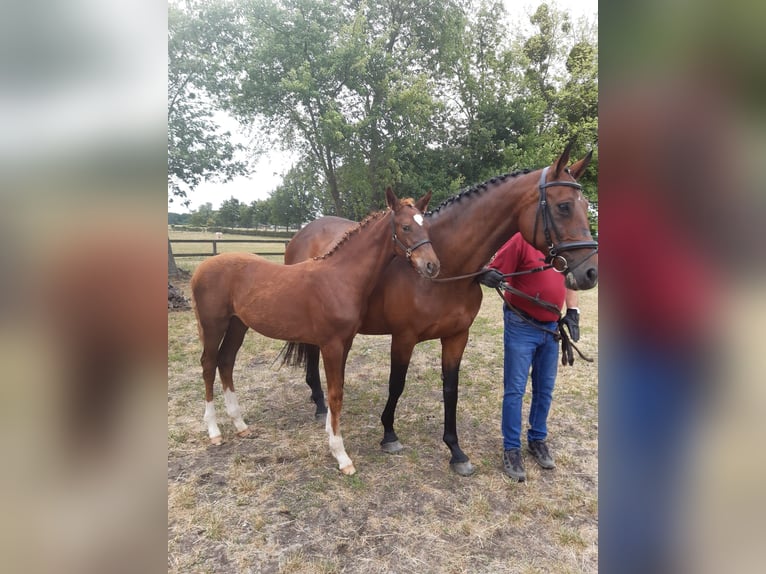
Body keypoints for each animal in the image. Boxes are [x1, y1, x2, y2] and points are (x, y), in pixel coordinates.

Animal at [190, 187, 440, 475]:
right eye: (406, 226)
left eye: (427, 226)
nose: (432, 266)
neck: (341, 277)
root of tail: (201, 268)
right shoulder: (331, 345)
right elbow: (335, 394)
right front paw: (341, 456)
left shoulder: (345, 343)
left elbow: (337, 388)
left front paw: (331, 437)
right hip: (213, 325)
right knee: (209, 365)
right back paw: (214, 431)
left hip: (237, 325)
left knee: (226, 362)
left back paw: (241, 426)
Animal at [282, 143, 598, 476]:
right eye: (564, 206)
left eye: (585, 205)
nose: (590, 272)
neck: (445, 271)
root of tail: (303, 233)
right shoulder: (404, 337)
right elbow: (397, 384)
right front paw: (389, 434)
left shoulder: (457, 336)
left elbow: (451, 389)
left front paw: (456, 451)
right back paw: (321, 405)